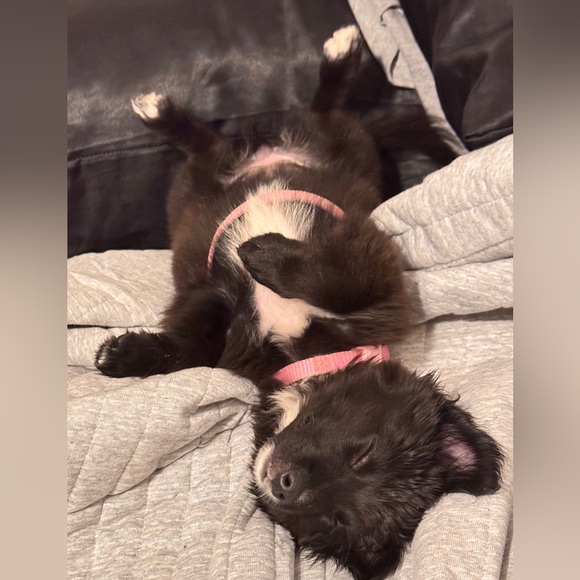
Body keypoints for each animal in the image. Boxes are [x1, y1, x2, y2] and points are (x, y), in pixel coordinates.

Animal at [95, 26, 502, 580]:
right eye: (364, 454)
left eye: (334, 520)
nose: (282, 486)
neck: (306, 356)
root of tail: (271, 150)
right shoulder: (377, 271)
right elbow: (323, 285)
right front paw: (129, 355)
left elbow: (199, 348)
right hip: (301, 157)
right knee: (279, 124)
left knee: (243, 137)